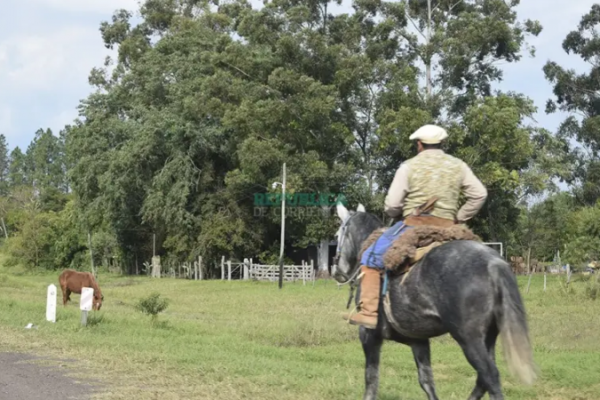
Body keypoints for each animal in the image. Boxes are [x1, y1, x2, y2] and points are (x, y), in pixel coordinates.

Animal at [332, 205, 540, 398]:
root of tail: (494, 264)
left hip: (469, 339)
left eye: (337, 235)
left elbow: (371, 379)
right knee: (482, 380)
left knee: (490, 376)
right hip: (488, 337)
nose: (336, 271)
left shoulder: (369, 336)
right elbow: (426, 380)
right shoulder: (419, 341)